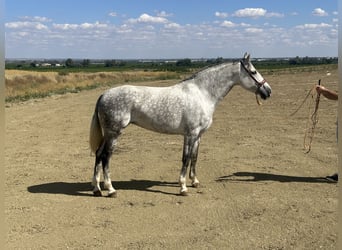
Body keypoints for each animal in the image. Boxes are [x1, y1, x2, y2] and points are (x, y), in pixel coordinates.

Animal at [90, 53, 272, 197]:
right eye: (254, 71)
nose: (268, 91)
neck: (202, 93)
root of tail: (103, 95)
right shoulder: (190, 134)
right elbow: (185, 158)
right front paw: (183, 187)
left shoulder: (198, 135)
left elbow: (194, 157)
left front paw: (195, 181)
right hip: (114, 133)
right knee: (105, 156)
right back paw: (111, 189)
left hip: (108, 134)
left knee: (98, 154)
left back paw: (97, 188)